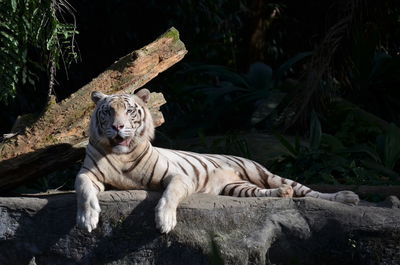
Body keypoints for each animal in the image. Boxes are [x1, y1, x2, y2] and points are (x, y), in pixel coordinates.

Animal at [75, 89, 360, 232]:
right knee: (265, 192)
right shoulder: (87, 174)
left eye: (129, 111)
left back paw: (347, 197)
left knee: (309, 190)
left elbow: (169, 195)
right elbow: (84, 190)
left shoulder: (177, 176)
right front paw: (87, 219)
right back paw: (283, 193)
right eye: (108, 111)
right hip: (238, 188)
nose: (118, 126)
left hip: (263, 173)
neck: (122, 156)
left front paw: (165, 221)